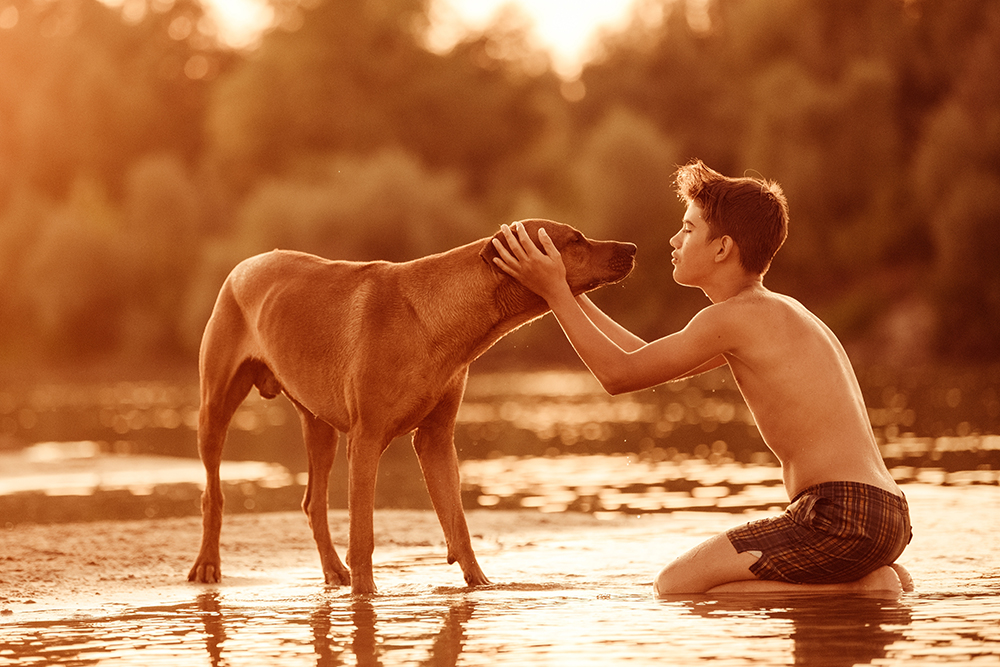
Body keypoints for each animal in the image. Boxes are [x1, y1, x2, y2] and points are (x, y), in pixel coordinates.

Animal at [189, 219, 632, 596]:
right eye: (575, 239)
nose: (632, 247)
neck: (434, 318)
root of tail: (245, 264)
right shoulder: (365, 440)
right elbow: (363, 534)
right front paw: (365, 596)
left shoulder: (435, 441)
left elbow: (458, 524)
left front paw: (480, 587)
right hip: (215, 407)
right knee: (213, 494)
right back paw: (208, 564)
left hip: (319, 426)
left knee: (313, 501)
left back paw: (333, 571)